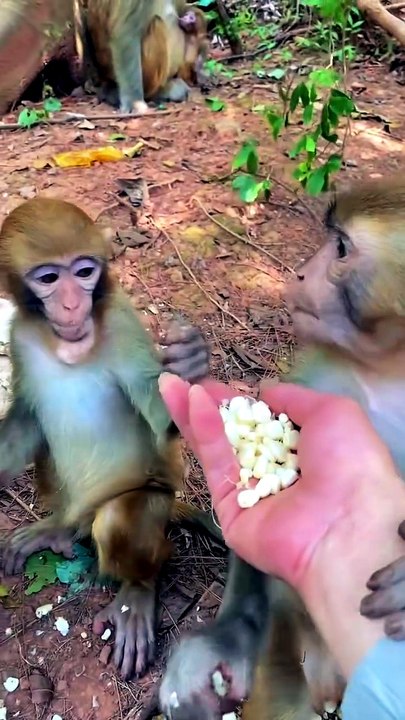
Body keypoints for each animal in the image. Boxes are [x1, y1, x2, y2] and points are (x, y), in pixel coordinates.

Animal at [0, 196, 210, 680]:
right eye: (49, 278)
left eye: (84, 272)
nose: (73, 305)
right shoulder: (18, 335)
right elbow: (26, 416)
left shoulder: (122, 322)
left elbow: (160, 416)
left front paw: (190, 367)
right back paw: (57, 528)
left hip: (152, 503)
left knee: (119, 522)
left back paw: (136, 591)